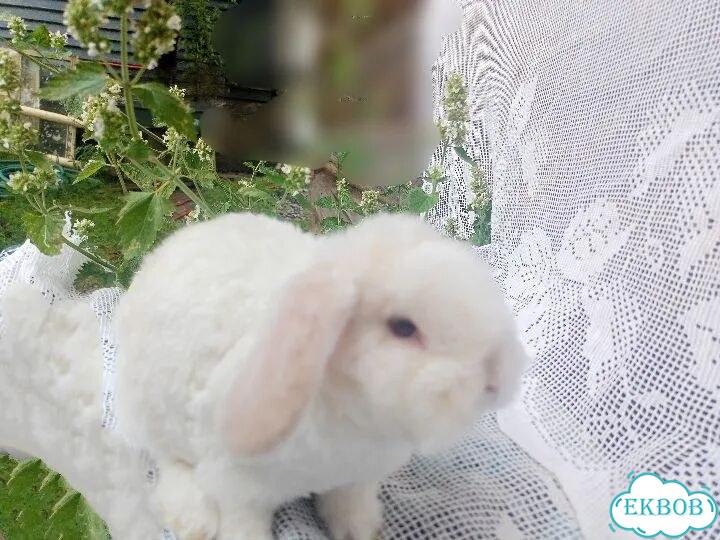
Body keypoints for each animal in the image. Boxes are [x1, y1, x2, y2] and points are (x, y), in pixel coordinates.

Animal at [114, 212, 527, 540]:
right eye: (403, 327)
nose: (495, 382)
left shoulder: (356, 479)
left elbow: (349, 507)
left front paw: (364, 532)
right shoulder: (236, 486)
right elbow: (242, 525)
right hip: (153, 415)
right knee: (168, 462)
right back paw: (193, 521)